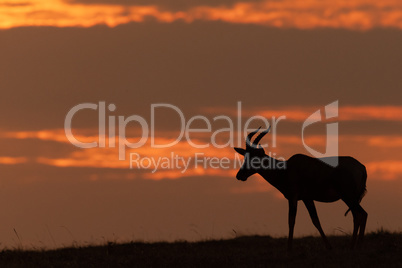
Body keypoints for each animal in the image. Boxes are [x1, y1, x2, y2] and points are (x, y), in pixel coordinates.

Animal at [234, 126, 370, 250]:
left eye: (255, 157)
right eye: (245, 156)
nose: (239, 175)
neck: (286, 169)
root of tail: (362, 167)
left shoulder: (293, 198)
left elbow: (291, 220)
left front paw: (289, 249)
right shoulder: (307, 198)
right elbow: (315, 220)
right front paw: (329, 247)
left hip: (348, 197)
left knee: (362, 214)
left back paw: (356, 246)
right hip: (351, 199)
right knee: (357, 215)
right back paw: (354, 246)